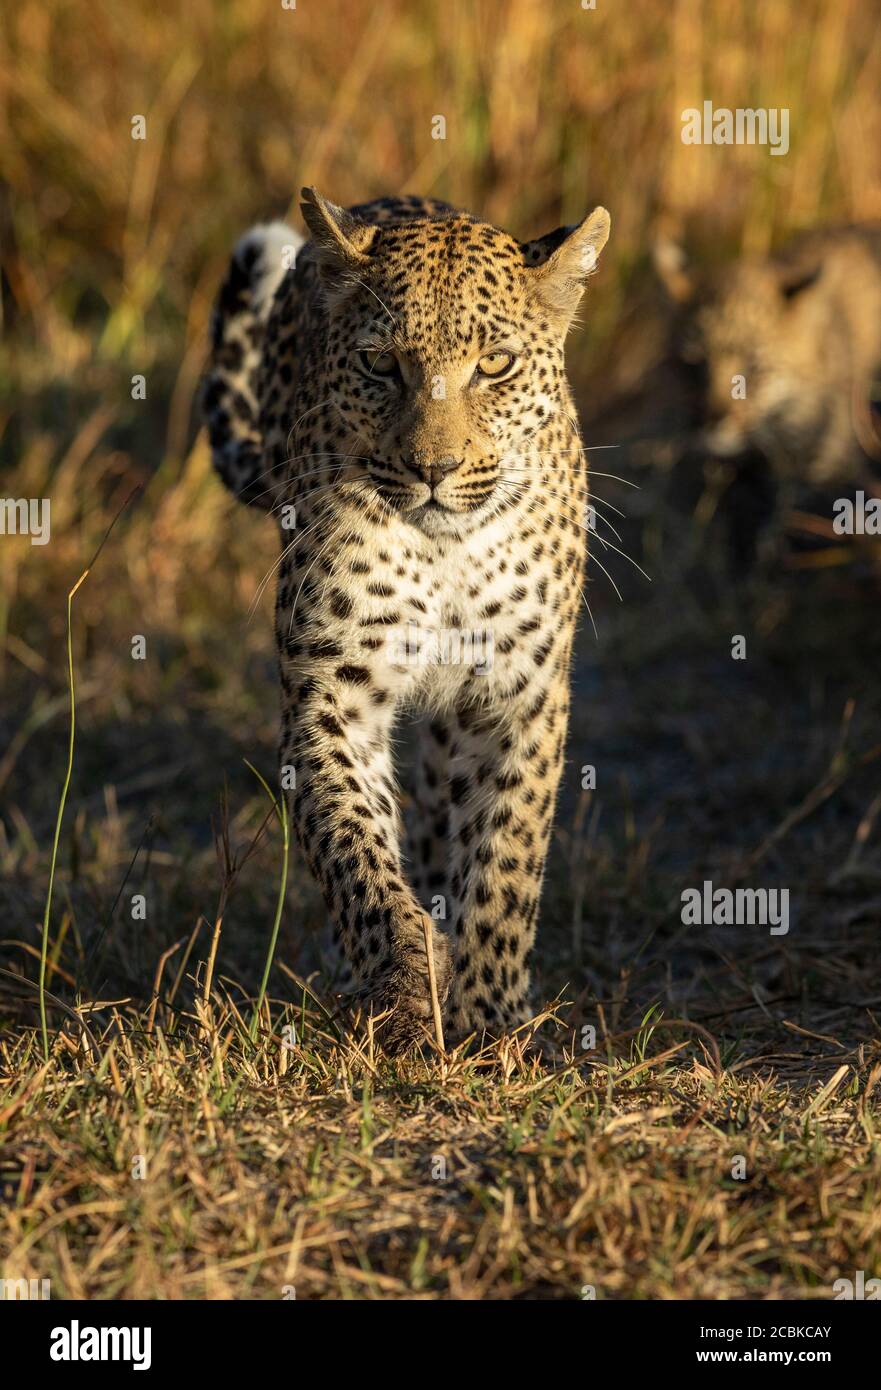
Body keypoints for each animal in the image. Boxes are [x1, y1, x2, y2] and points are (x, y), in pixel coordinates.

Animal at [201, 187, 605, 1050]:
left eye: (494, 365)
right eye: (381, 364)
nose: (433, 469)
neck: (447, 546)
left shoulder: (519, 694)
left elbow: (506, 855)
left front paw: (489, 1015)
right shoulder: (331, 688)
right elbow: (352, 848)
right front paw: (405, 986)